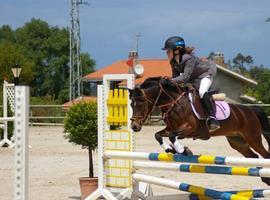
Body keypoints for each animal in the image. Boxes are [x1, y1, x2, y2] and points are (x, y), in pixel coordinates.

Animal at [127, 76, 270, 186]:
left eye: (141, 103)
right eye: (131, 104)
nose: (134, 126)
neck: (174, 103)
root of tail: (251, 110)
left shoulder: (189, 128)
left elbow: (173, 136)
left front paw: (182, 150)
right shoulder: (170, 128)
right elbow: (158, 135)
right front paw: (170, 149)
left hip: (252, 138)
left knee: (265, 155)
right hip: (238, 142)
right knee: (254, 157)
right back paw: (265, 179)